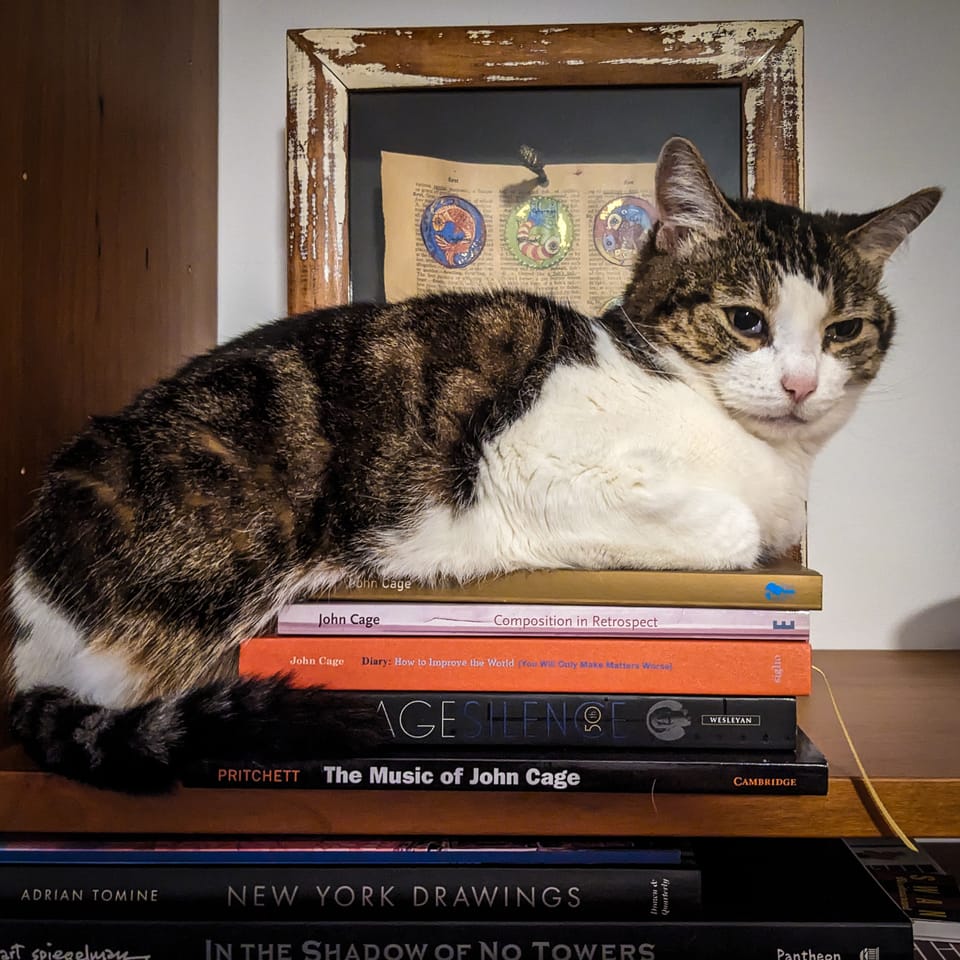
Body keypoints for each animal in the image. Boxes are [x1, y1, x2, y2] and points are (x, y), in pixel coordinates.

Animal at [3, 137, 940, 796]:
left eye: (843, 332)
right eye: (747, 320)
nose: (800, 384)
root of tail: (25, 606)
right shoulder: (525, 462)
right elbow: (732, 528)